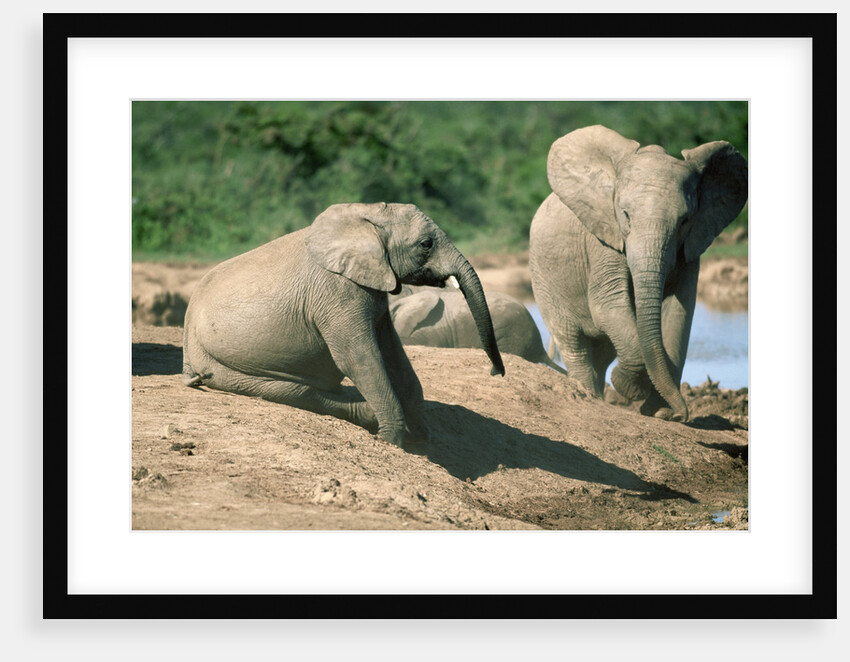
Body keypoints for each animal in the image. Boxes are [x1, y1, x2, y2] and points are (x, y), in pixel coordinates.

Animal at [182, 202, 505, 448]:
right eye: (426, 244)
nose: (495, 372)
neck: (366, 214)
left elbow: (394, 357)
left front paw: (421, 437)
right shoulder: (336, 292)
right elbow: (359, 358)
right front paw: (392, 441)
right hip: (222, 367)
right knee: (296, 392)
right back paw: (369, 416)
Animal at [529, 125, 747, 421]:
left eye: (685, 221)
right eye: (625, 215)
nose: (681, 415)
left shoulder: (690, 249)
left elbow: (679, 313)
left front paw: (658, 411)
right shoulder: (604, 241)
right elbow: (607, 304)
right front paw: (630, 388)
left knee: (603, 350)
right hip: (543, 280)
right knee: (573, 342)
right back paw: (589, 397)